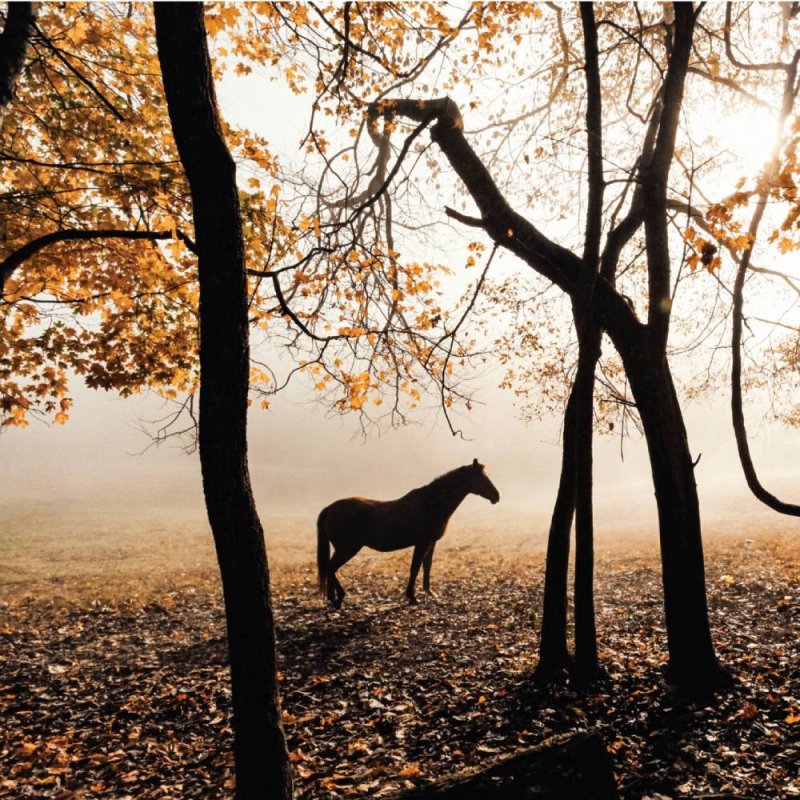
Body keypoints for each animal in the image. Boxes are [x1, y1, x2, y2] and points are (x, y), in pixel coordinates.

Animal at [314, 460, 496, 608]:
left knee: (330, 569)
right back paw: (339, 597)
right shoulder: (422, 543)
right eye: (482, 478)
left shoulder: (431, 542)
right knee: (330, 567)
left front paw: (430, 592)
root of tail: (328, 509)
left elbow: (427, 566)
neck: (431, 504)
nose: (497, 496)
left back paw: (332, 598)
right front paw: (412, 597)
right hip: (347, 548)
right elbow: (415, 567)